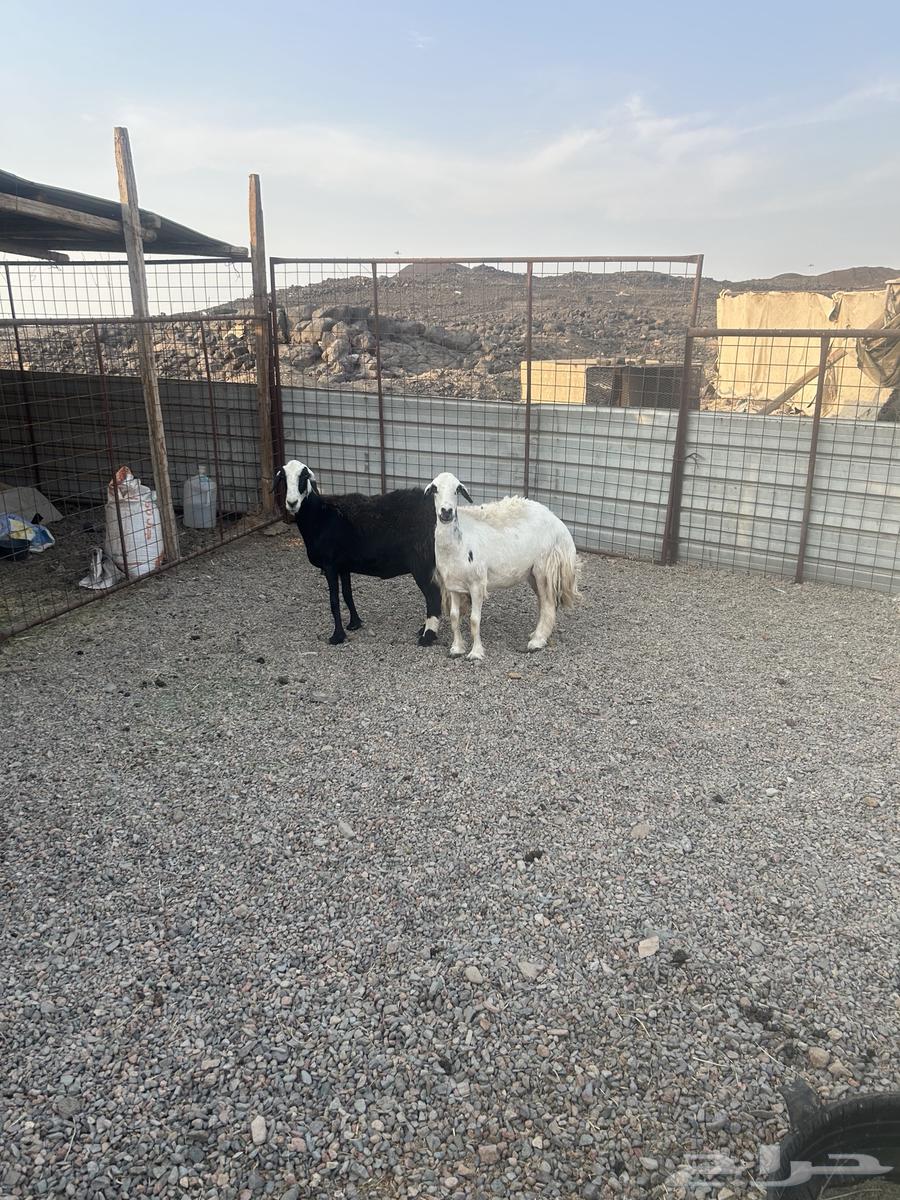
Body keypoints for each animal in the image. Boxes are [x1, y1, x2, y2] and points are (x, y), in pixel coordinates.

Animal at [274, 460, 441, 646]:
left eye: (303, 477)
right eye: (283, 478)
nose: (292, 503)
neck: (319, 516)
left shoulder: (329, 565)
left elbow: (334, 601)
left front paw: (337, 636)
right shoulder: (343, 566)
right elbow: (347, 594)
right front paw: (354, 623)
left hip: (422, 562)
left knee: (433, 596)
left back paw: (427, 637)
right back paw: (424, 629)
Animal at [425, 472, 579, 660]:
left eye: (457, 490)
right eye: (435, 489)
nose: (446, 512)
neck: (457, 543)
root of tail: (560, 525)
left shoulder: (477, 583)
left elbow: (474, 620)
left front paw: (476, 653)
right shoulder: (453, 585)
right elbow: (454, 617)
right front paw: (457, 648)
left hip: (544, 566)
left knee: (549, 605)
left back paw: (537, 642)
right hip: (532, 573)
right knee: (543, 603)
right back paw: (536, 634)